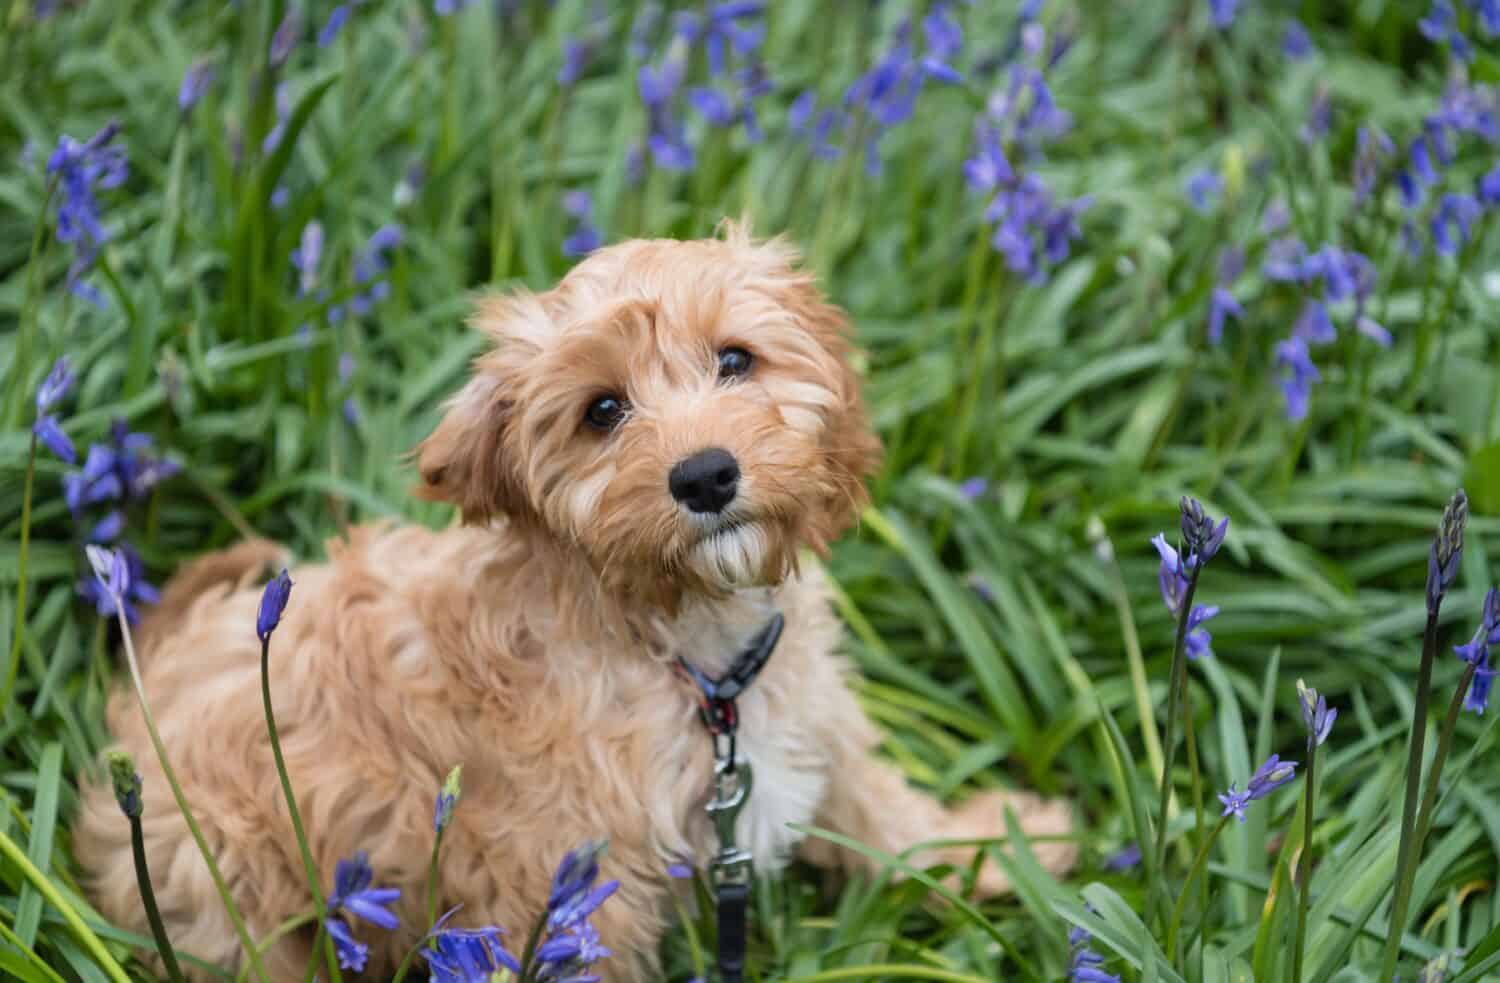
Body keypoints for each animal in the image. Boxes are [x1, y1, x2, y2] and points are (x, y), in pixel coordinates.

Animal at [73, 226, 1080, 978]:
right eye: (602, 411)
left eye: (736, 360)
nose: (705, 475)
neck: (690, 656)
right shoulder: (570, 893)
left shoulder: (808, 723)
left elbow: (883, 809)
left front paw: (1002, 847)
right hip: (231, 893)